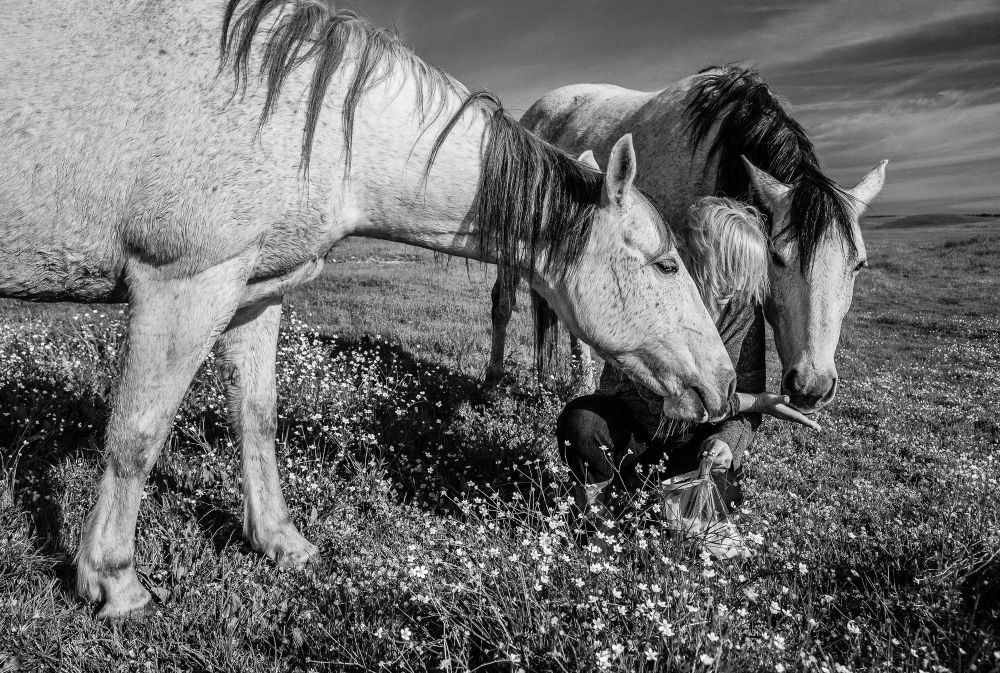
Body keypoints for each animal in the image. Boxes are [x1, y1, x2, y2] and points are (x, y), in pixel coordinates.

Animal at [0, 1, 737, 617]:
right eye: (667, 264)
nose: (725, 382)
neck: (300, 115)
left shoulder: (255, 293)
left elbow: (256, 419)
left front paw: (279, 541)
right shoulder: (183, 283)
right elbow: (135, 435)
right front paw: (112, 581)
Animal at [486, 66, 888, 413]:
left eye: (859, 265)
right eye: (777, 258)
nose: (811, 386)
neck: (720, 150)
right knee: (503, 304)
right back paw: (495, 381)